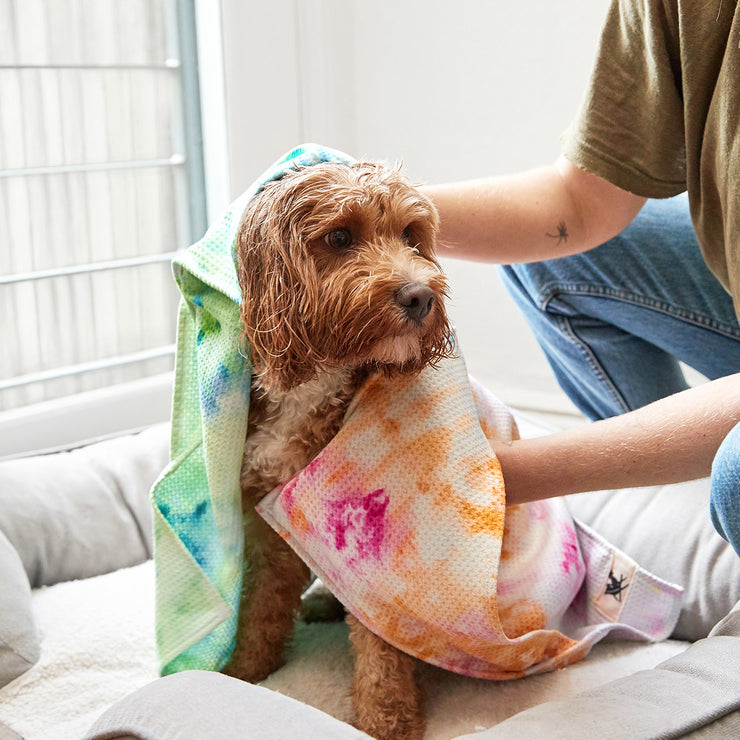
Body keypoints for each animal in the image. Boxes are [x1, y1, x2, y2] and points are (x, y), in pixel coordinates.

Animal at [225, 159, 454, 736]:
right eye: (340, 236)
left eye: (410, 236)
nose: (421, 296)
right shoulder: (268, 522)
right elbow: (261, 605)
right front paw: (242, 673)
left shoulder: (362, 542)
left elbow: (380, 644)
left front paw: (385, 720)